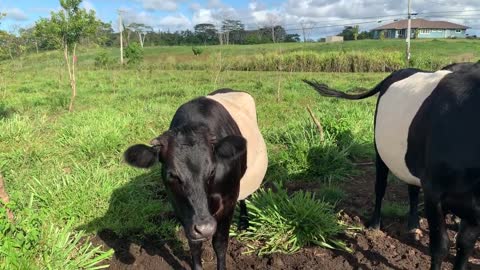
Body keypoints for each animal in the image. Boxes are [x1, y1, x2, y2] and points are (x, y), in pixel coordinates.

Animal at [124, 89, 268, 270]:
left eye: (212, 170)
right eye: (172, 175)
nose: (205, 228)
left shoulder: (228, 201)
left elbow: (220, 243)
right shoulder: (179, 205)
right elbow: (194, 244)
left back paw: (244, 222)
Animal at [306, 62, 480, 268]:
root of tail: (400, 71)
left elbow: (464, 247)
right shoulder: (433, 193)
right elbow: (440, 247)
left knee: (412, 189)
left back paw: (413, 225)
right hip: (380, 151)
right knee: (380, 187)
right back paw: (375, 225)